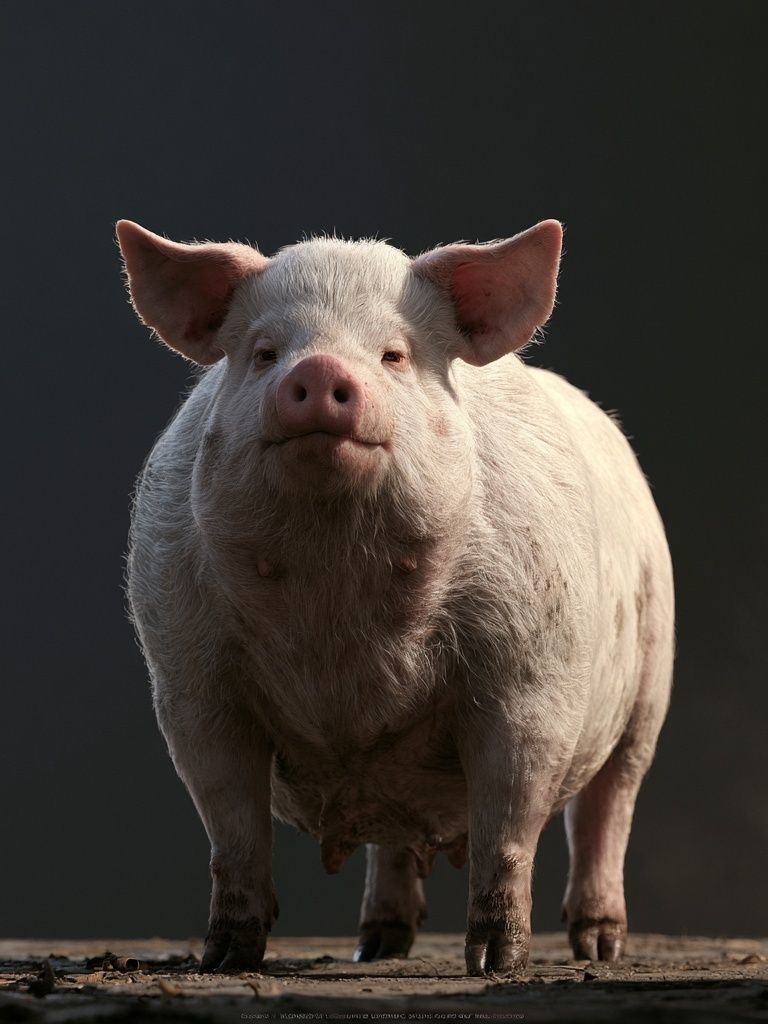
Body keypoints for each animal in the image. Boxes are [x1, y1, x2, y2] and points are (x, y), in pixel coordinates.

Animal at [117, 217, 674, 976]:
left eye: (395, 355)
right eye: (264, 353)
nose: (320, 369)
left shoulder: (531, 679)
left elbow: (508, 828)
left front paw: (496, 965)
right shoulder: (190, 683)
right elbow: (232, 829)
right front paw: (226, 959)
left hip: (651, 678)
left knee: (608, 806)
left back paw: (601, 945)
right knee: (390, 835)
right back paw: (376, 946)